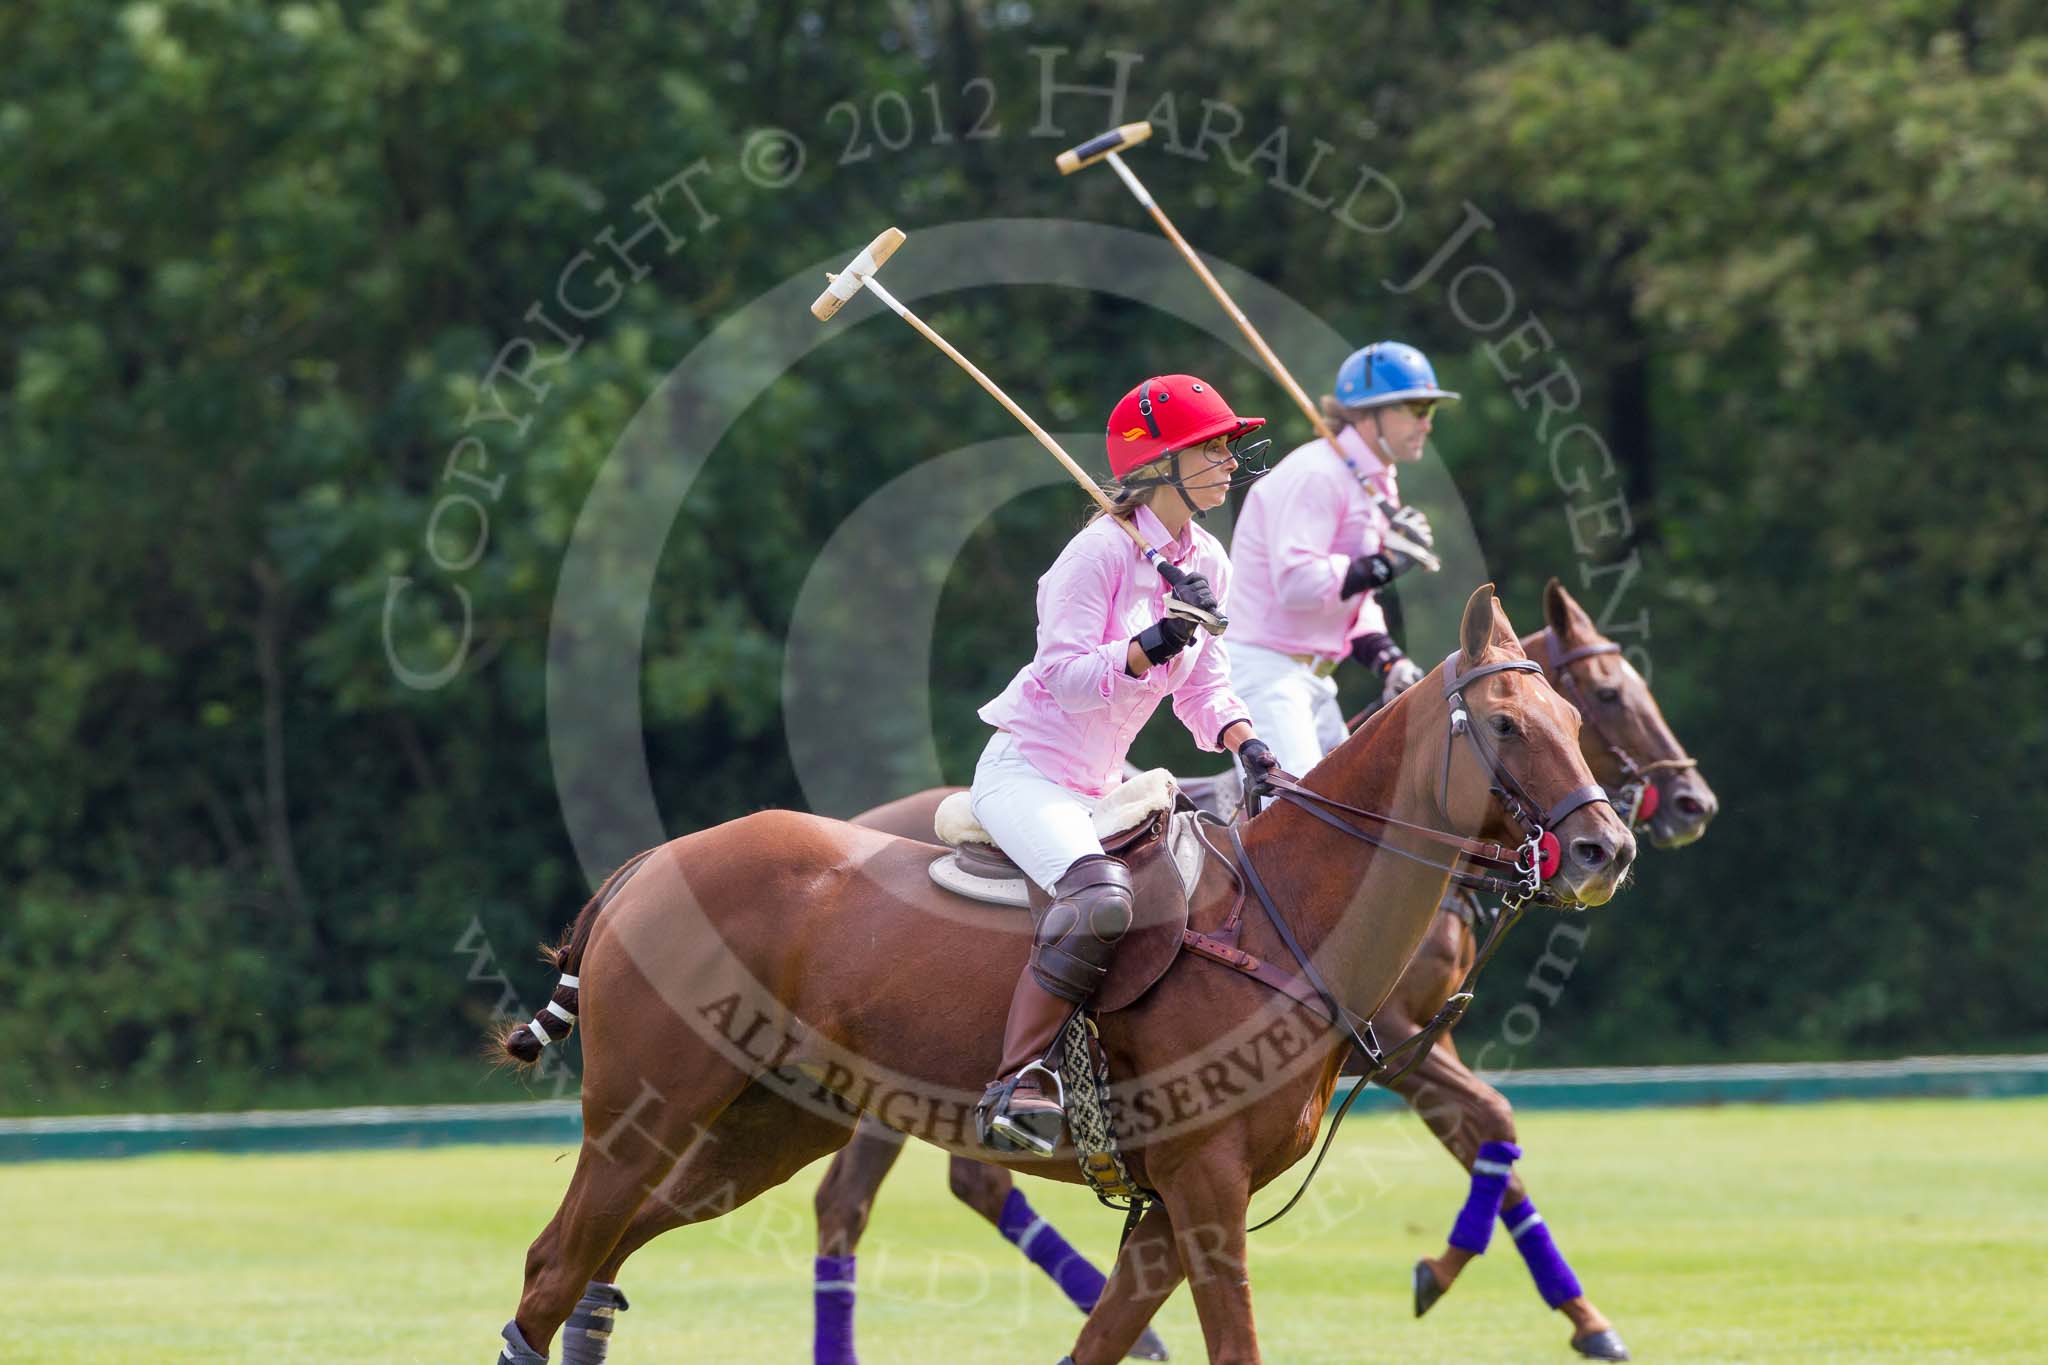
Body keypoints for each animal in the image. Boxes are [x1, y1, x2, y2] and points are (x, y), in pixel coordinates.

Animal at [487, 589, 1622, 1365]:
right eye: (1510, 723)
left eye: (1576, 721)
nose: (1606, 848)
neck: (1286, 914)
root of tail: (645, 867)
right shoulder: (1206, 1182)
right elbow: (1233, 1344)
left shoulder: (1169, 1205)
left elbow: (1101, 1343)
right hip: (644, 1110)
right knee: (553, 1266)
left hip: (770, 1126)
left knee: (604, 1259)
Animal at [802, 581, 1712, 1365]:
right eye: (1602, 695)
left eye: (1573, 712)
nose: (1620, 842)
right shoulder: (1398, 1040)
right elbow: (1491, 1117)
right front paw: (1476, 1283)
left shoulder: (1404, 1040)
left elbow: (1492, 1130)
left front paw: (1571, 1313)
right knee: (860, 1198)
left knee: (916, 1190)